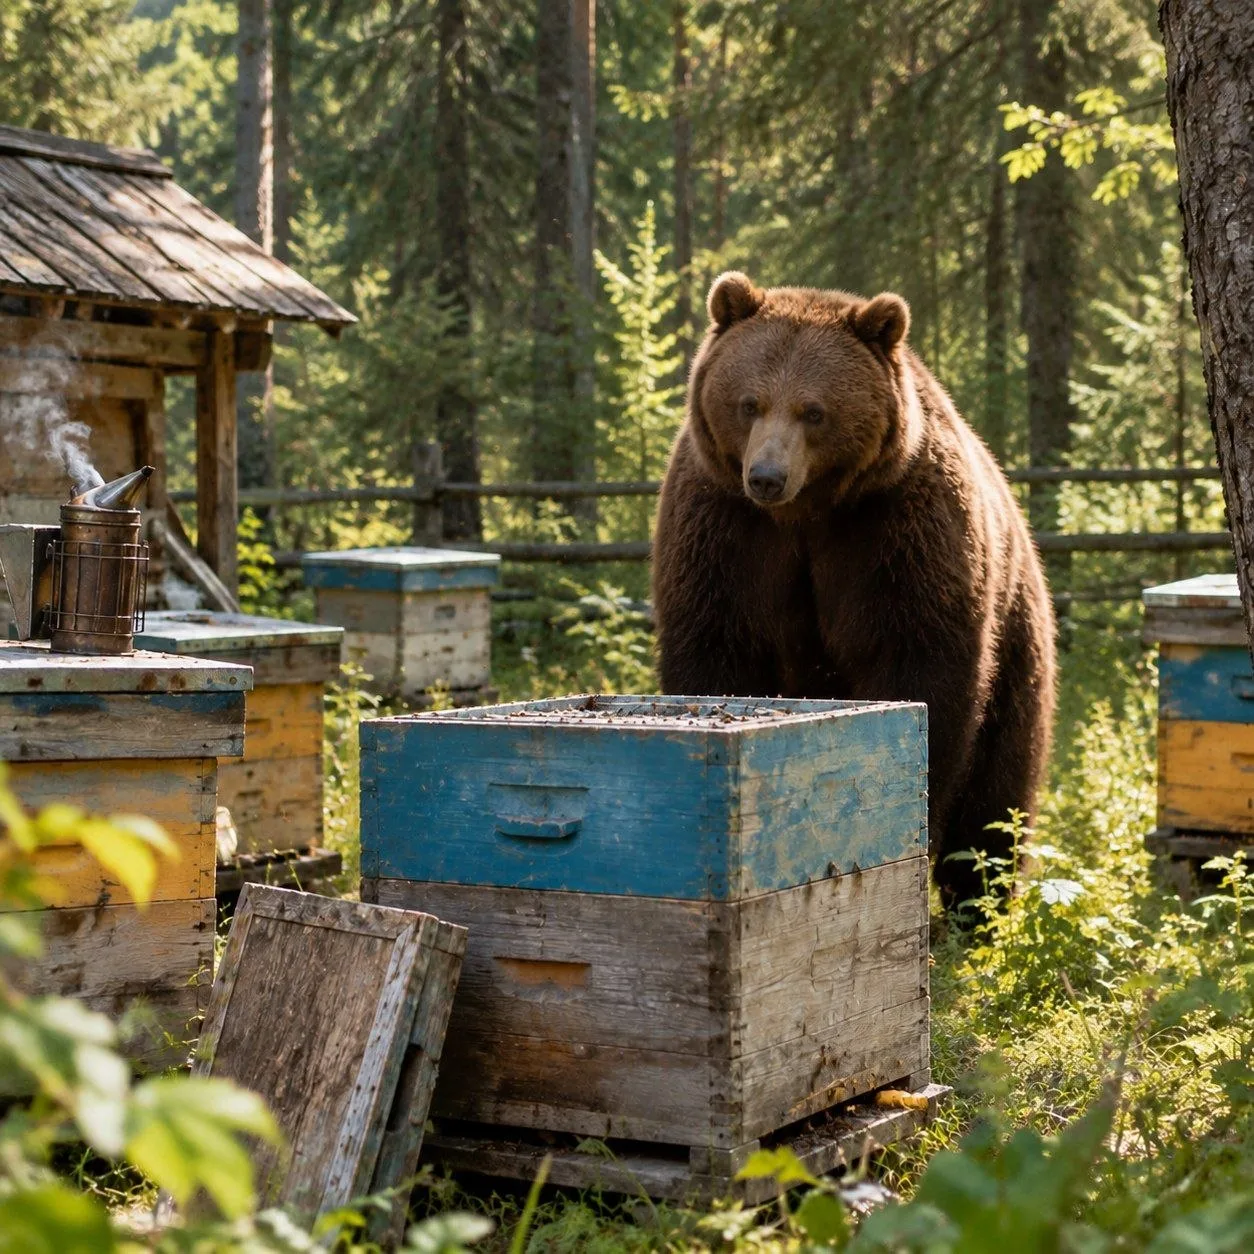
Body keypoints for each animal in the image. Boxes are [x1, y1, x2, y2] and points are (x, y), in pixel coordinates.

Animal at [652, 271, 1057, 909]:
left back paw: (977, 903)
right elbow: (716, 645)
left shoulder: (895, 529)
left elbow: (920, 669)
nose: (766, 477)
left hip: (1018, 645)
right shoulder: (724, 529)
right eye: (749, 403)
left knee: (998, 799)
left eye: (814, 411)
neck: (807, 513)